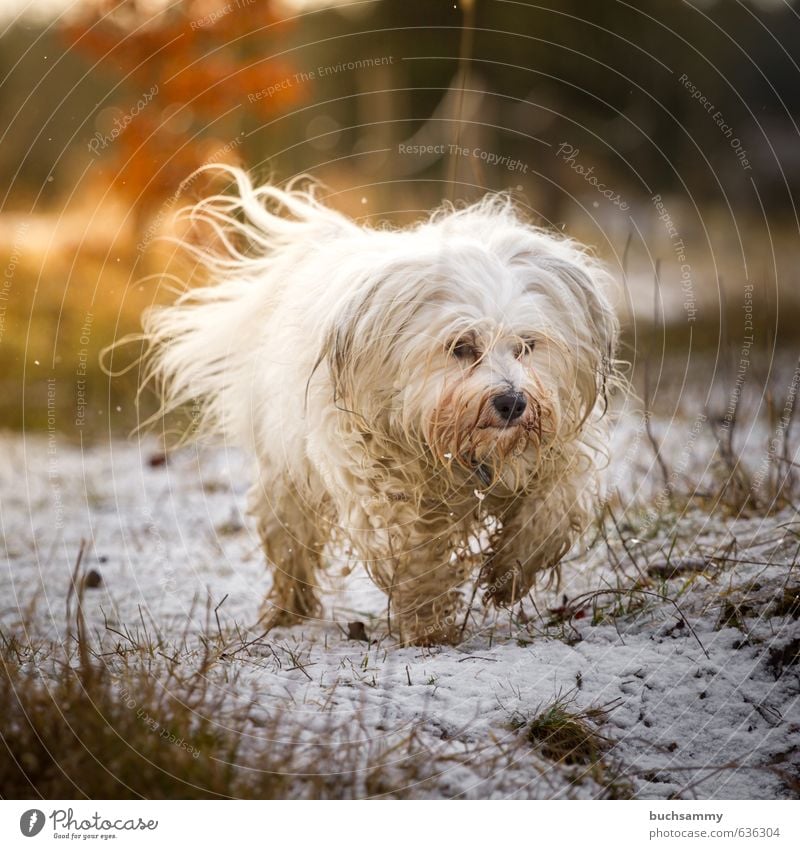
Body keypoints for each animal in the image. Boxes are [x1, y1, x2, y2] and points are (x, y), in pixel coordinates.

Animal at [144, 164, 620, 644]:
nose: (512, 402)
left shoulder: (555, 450)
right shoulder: (378, 481)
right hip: (287, 475)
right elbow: (413, 551)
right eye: (461, 347)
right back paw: (287, 611)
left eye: (527, 346)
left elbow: (551, 510)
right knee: (290, 540)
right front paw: (428, 623)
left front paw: (509, 574)